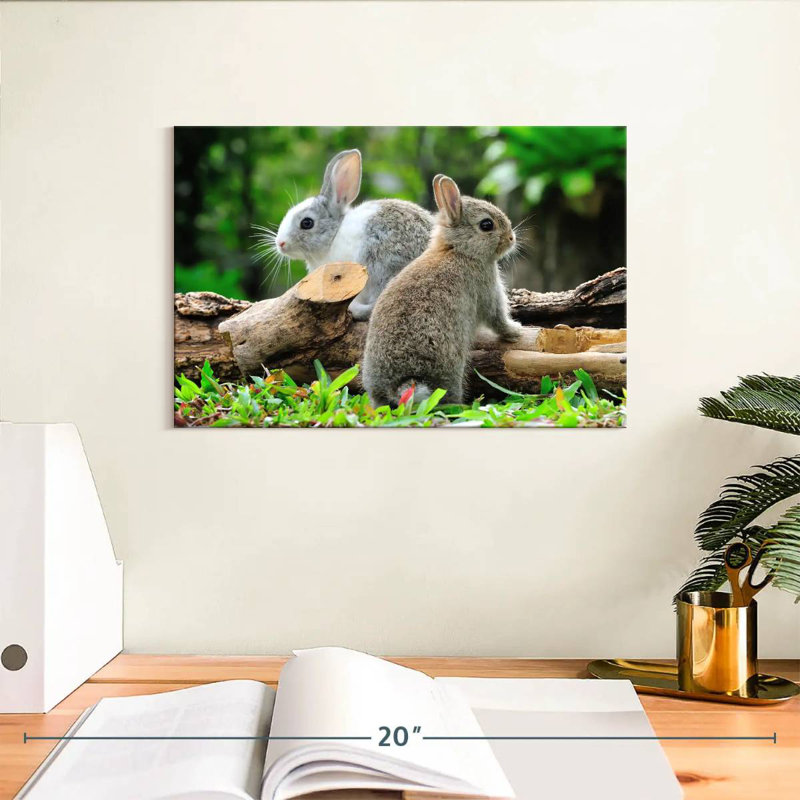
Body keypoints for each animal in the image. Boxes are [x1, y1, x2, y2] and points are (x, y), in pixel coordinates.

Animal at [362, 174, 523, 407]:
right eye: (486, 225)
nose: (511, 238)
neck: (458, 250)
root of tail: (401, 384)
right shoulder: (487, 290)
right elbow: (497, 319)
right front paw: (516, 331)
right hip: (450, 369)